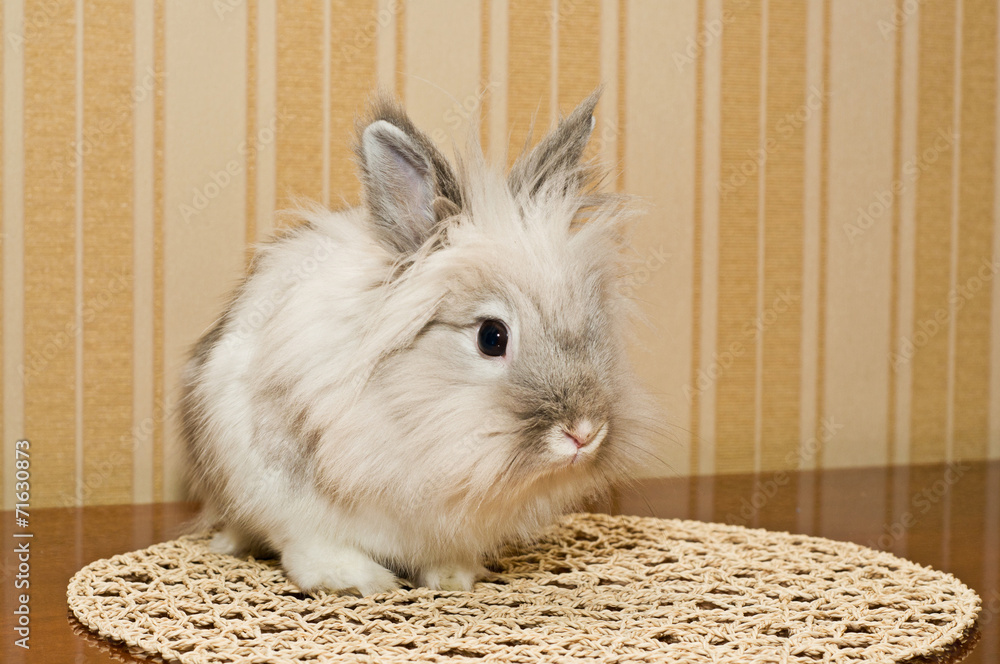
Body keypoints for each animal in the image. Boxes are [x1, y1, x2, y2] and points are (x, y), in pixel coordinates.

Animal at [181, 89, 660, 596]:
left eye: (594, 323)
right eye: (492, 337)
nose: (584, 432)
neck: (410, 415)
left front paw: (452, 579)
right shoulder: (287, 490)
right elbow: (315, 544)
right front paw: (355, 582)